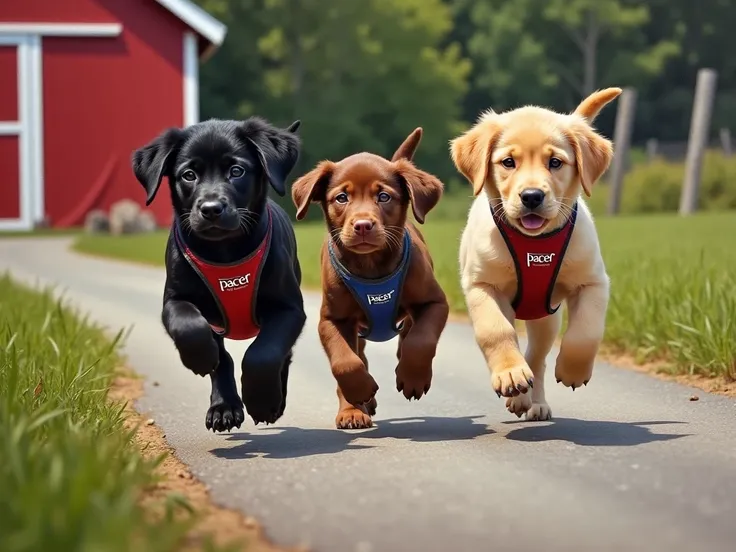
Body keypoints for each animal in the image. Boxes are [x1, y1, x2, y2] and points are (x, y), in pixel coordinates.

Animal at [132, 118, 304, 434]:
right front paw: (201, 358)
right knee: (222, 356)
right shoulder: (175, 300)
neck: (225, 252)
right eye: (188, 175)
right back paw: (224, 407)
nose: (211, 209)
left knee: (282, 355)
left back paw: (273, 402)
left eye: (236, 171)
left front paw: (261, 401)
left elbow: (264, 353)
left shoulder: (289, 308)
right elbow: (189, 328)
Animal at [292, 130, 448, 432]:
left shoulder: (435, 302)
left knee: (408, 335)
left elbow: (421, 340)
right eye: (341, 197)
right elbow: (344, 362)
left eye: (384, 196)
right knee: (358, 356)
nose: (363, 225)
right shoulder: (332, 319)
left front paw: (413, 377)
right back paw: (355, 408)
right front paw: (358, 396)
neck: (371, 267)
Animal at [448, 88, 620, 420]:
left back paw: (533, 401)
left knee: (537, 357)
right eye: (508, 162)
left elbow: (586, 331)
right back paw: (520, 390)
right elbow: (496, 331)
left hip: (546, 318)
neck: (534, 242)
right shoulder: (481, 285)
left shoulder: (593, 282)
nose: (531, 196)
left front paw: (573, 370)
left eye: (555, 162)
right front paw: (509, 373)